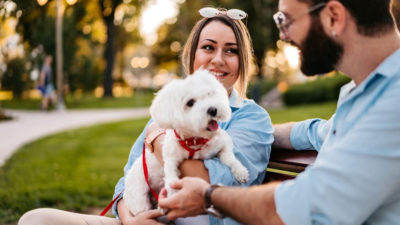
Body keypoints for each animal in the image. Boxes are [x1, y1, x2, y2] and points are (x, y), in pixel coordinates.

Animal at [125, 69, 248, 215]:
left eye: (209, 94)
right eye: (190, 103)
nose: (213, 109)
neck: (194, 139)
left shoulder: (223, 142)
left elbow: (229, 157)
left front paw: (240, 171)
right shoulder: (170, 159)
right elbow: (171, 178)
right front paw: (170, 198)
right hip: (139, 200)